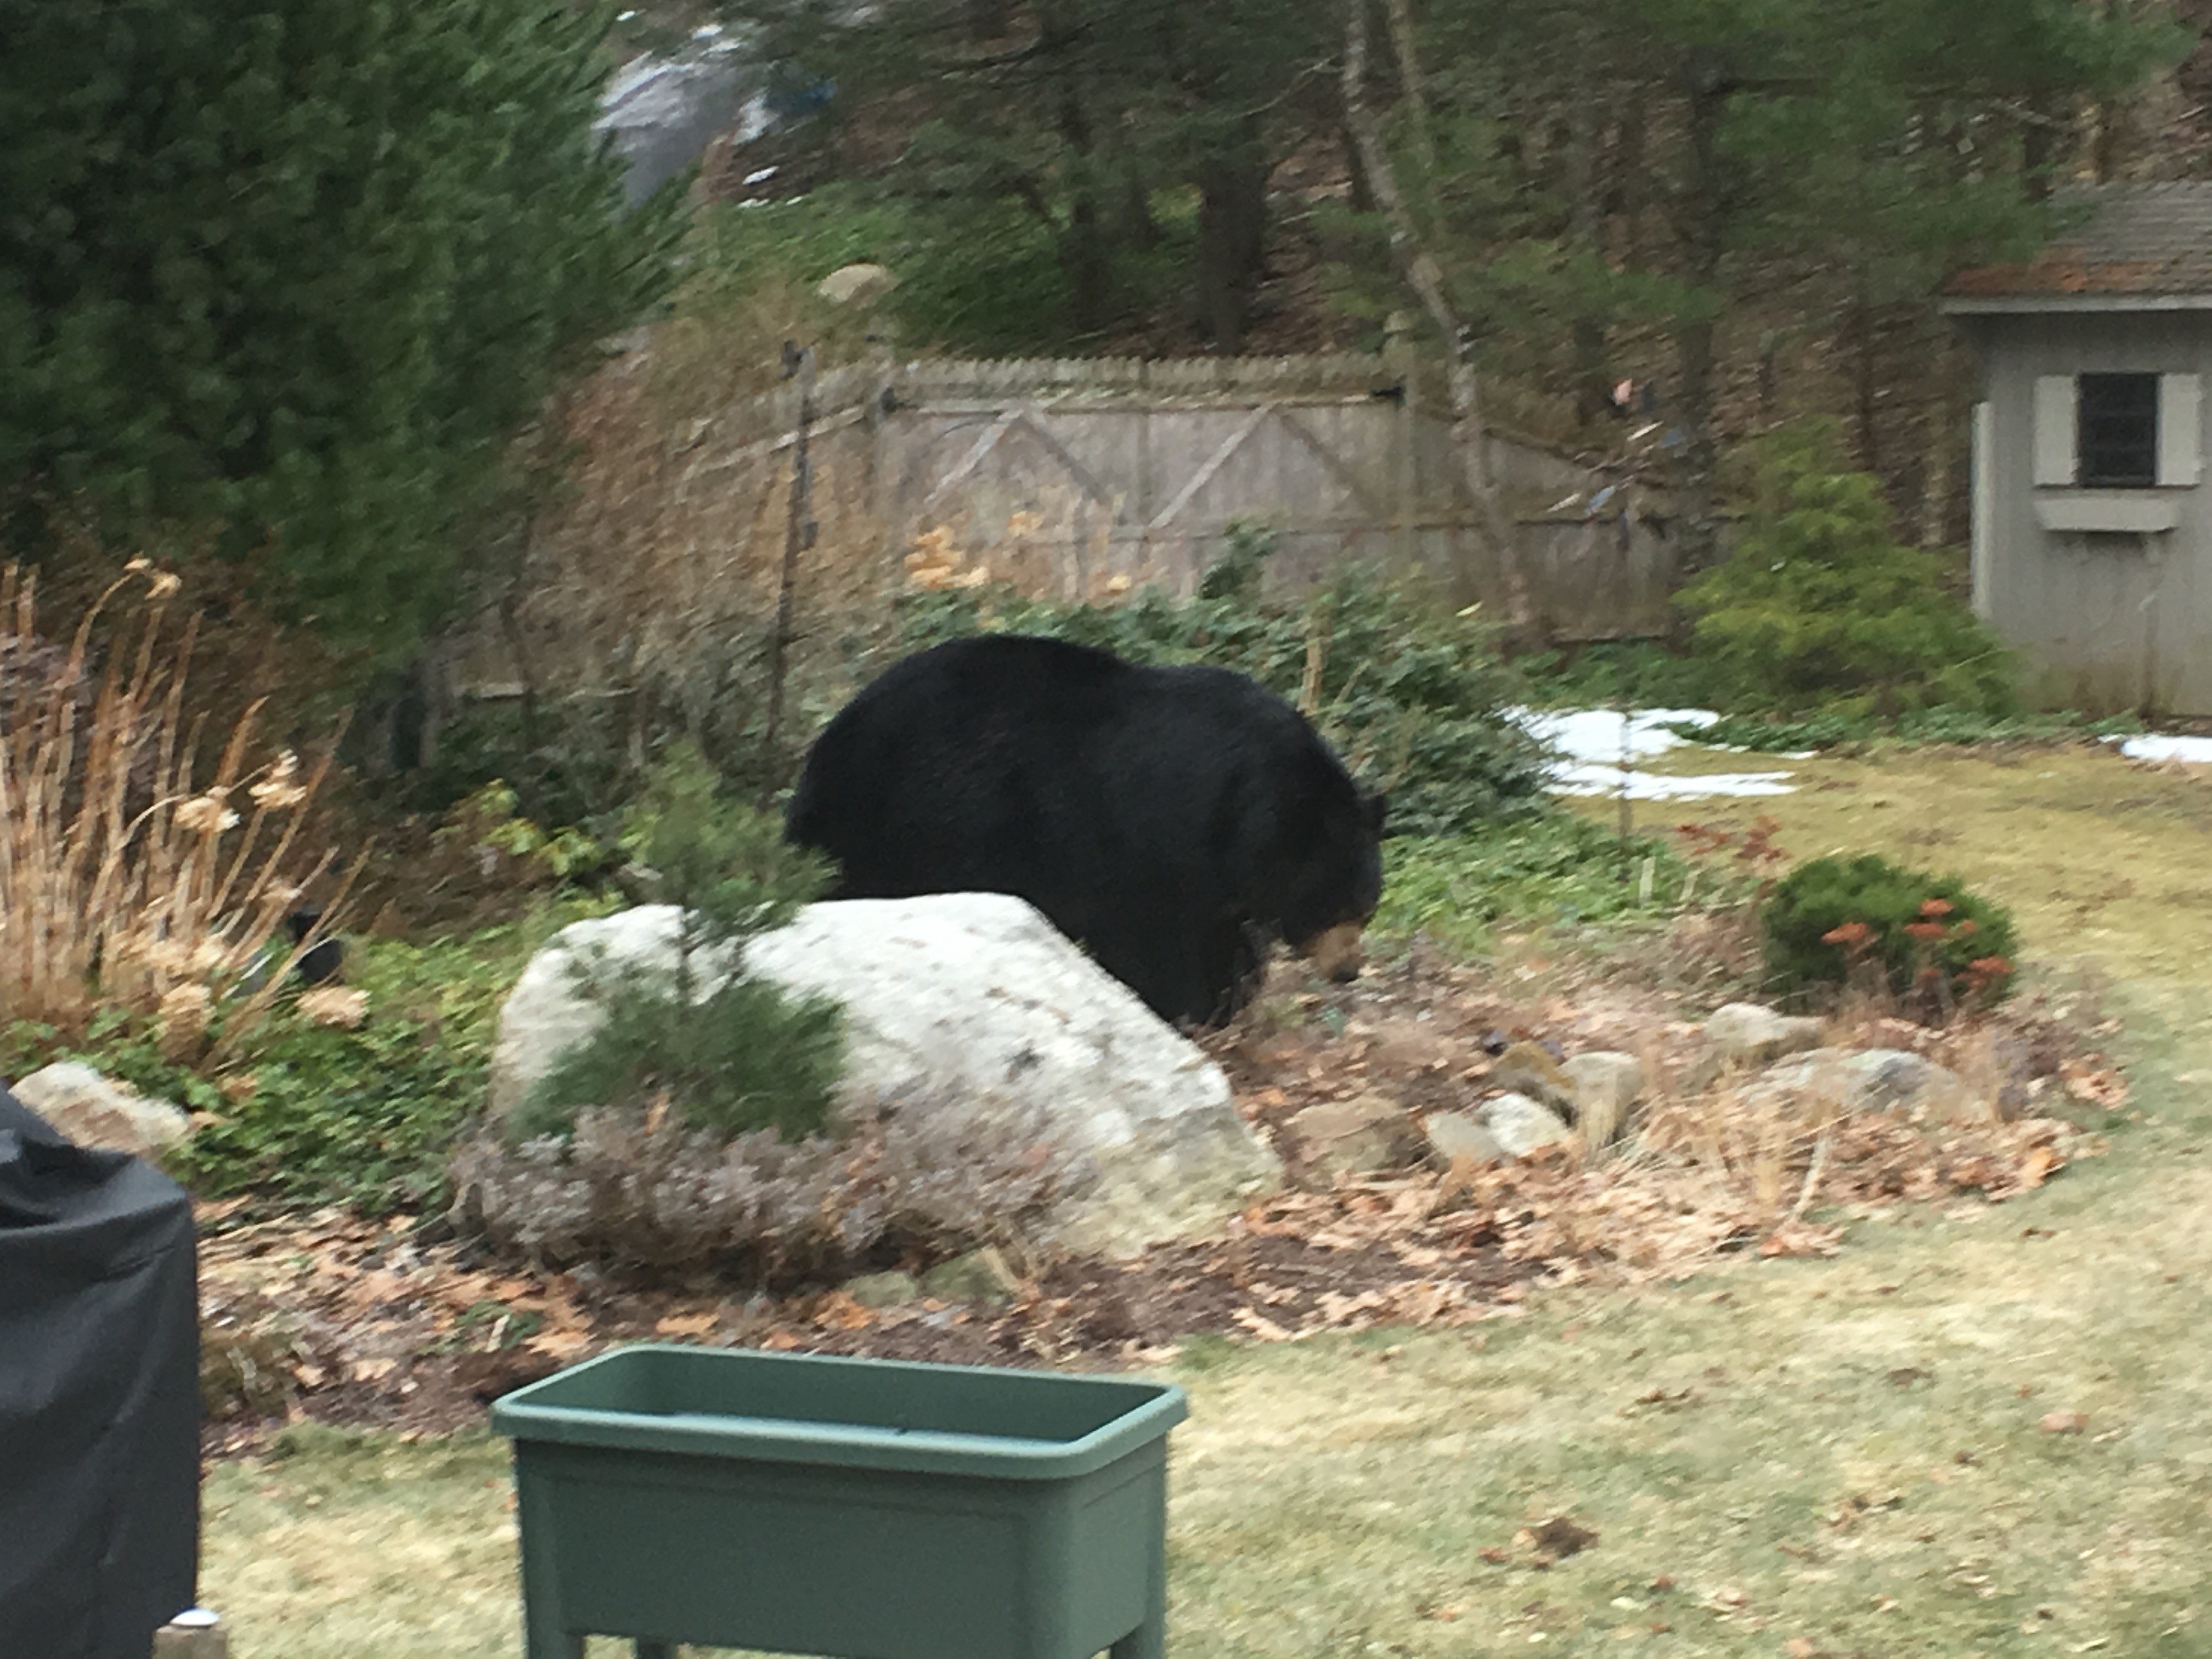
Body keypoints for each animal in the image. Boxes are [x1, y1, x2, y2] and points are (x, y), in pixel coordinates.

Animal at [785, 634, 1385, 1028]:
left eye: (1366, 905)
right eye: (1331, 903)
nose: (1349, 970)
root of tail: (826, 747)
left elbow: (1217, 930)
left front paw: (1229, 993)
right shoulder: (1148, 835)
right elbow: (1153, 933)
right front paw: (1188, 1005)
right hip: (900, 821)